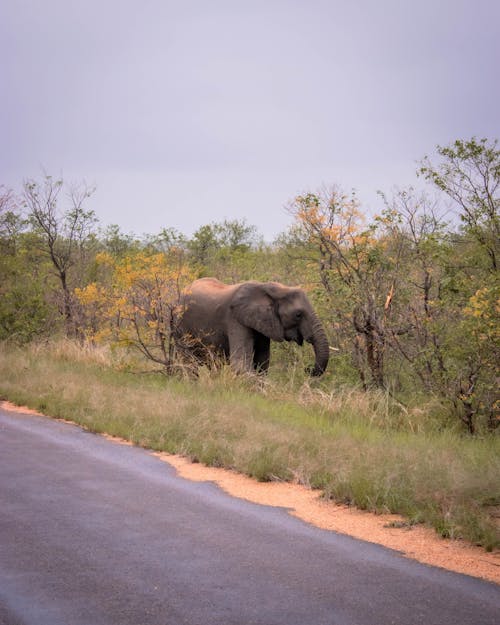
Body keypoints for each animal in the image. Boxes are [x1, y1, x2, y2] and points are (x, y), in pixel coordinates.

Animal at [174, 278, 330, 376]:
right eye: (298, 314)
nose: (307, 369)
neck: (273, 289)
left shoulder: (263, 324)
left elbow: (262, 363)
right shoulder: (235, 319)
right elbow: (241, 364)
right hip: (180, 324)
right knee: (188, 362)